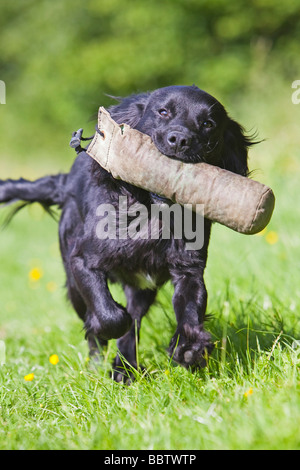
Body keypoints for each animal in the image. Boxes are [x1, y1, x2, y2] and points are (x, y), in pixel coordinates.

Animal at [0, 85, 255, 382]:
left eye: (208, 124)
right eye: (163, 111)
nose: (180, 140)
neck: (154, 213)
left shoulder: (189, 269)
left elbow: (189, 309)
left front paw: (189, 348)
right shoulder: (82, 261)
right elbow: (111, 316)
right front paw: (104, 326)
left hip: (142, 289)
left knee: (133, 323)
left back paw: (124, 369)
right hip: (74, 283)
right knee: (100, 326)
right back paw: (100, 365)